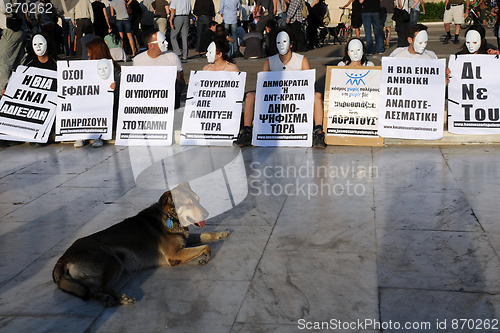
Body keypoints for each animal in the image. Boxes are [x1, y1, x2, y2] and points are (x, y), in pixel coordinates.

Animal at [52, 182, 229, 306]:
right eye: (188, 204)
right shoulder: (175, 254)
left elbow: (205, 235)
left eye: (198, 200)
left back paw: (106, 300)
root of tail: (63, 258)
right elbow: (206, 246)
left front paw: (221, 233)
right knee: (103, 286)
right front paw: (205, 256)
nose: (207, 213)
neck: (169, 217)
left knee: (94, 289)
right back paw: (122, 299)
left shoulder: (185, 240)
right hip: (113, 261)